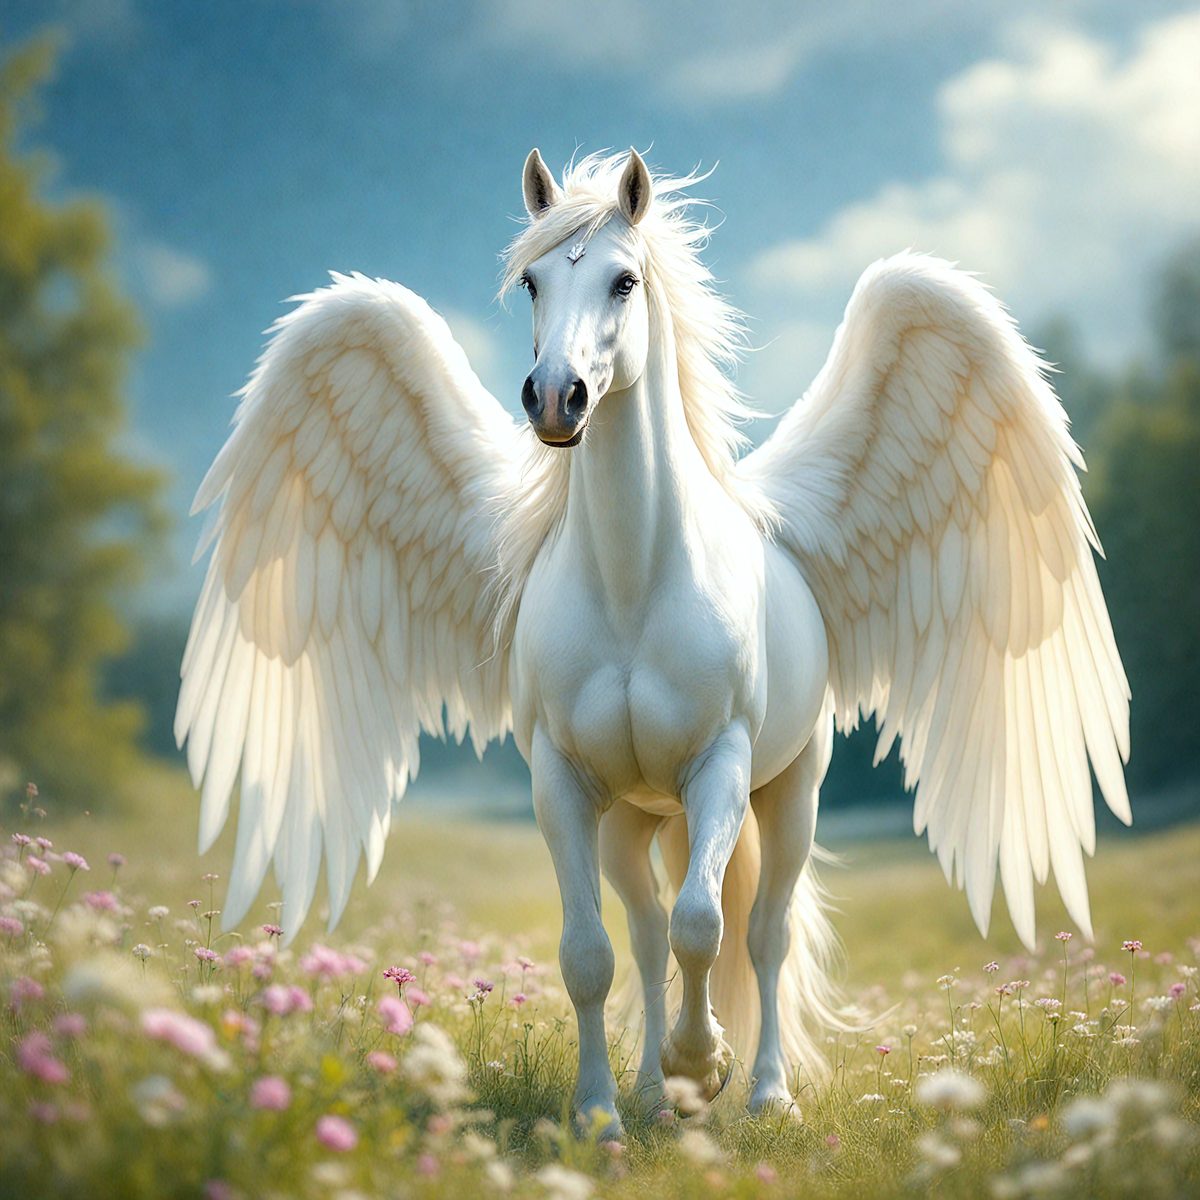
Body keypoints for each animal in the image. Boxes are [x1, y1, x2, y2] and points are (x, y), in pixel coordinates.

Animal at [176, 148, 1131, 1135]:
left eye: (623, 280)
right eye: (531, 282)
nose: (555, 399)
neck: (635, 585)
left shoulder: (720, 766)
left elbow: (705, 926)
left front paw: (702, 1064)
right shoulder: (561, 782)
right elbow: (591, 955)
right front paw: (605, 1111)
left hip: (789, 788)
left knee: (763, 932)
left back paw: (765, 1094)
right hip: (629, 819)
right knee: (641, 934)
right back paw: (647, 1097)